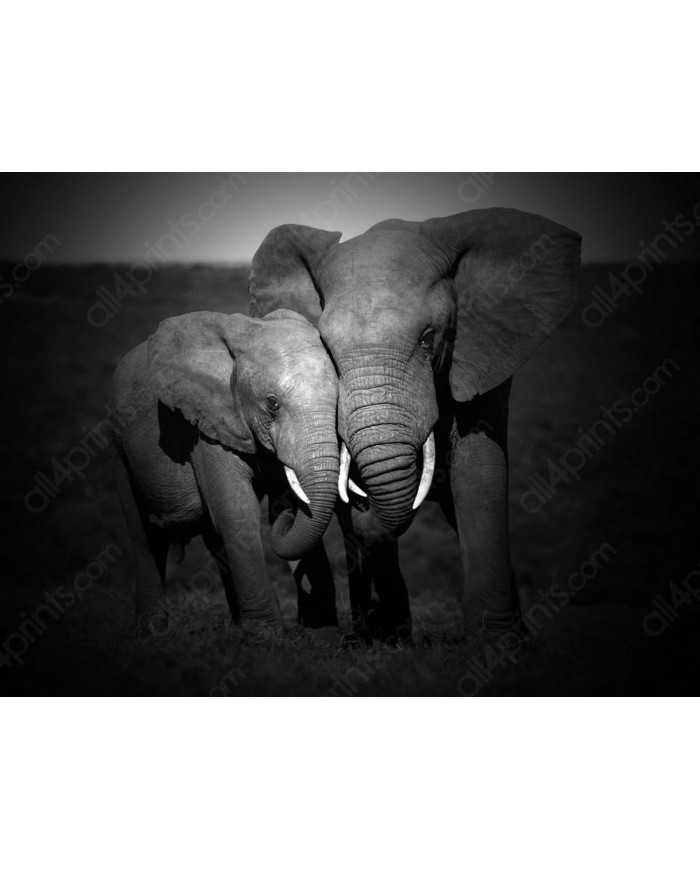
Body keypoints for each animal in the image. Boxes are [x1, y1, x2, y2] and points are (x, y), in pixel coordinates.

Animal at [108, 308, 340, 635]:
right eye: (272, 403)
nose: (289, 514)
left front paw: (321, 634)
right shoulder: (202, 425)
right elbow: (236, 510)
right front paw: (265, 634)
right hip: (117, 444)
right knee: (144, 536)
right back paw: (152, 633)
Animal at [248, 208, 582, 643]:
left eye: (428, 338)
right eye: (326, 348)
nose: (358, 502)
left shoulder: (480, 361)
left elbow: (479, 474)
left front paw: (496, 642)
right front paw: (383, 642)